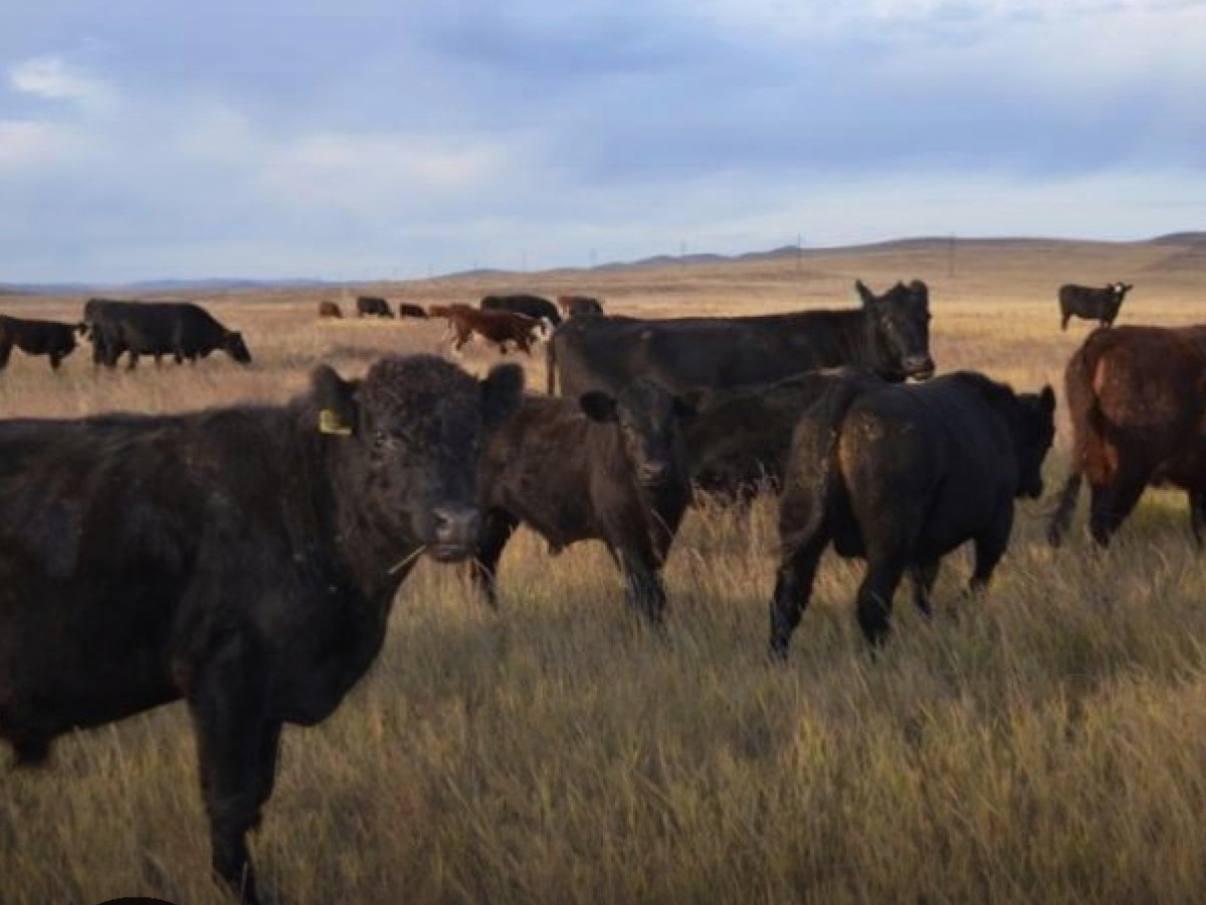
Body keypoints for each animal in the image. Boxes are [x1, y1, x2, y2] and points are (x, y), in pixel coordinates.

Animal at [82, 301, 252, 371]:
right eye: (239, 343)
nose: (249, 359)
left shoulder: (192, 353)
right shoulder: (180, 351)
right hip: (113, 347)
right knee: (109, 364)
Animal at [470, 381, 699, 622]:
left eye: (671, 424)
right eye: (626, 425)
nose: (654, 471)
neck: (650, 503)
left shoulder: (665, 533)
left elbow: (655, 588)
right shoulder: (622, 535)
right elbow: (641, 588)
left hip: (499, 518)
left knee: (485, 565)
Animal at [771, 371, 1056, 656]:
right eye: (1046, 438)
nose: (1037, 486)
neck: (1002, 420)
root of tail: (849, 396)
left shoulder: (925, 550)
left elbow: (922, 590)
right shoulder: (997, 524)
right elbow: (979, 577)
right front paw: (955, 614)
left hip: (801, 534)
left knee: (788, 597)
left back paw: (779, 656)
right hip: (889, 546)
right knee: (872, 600)